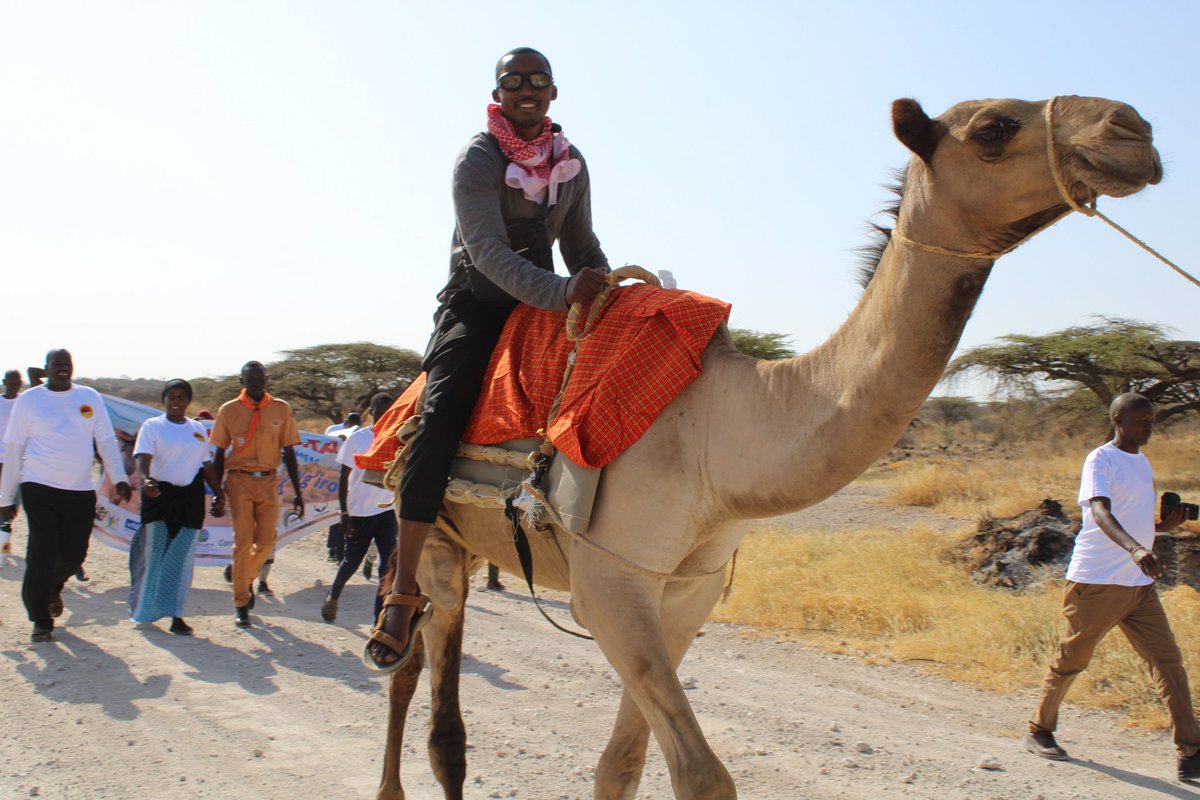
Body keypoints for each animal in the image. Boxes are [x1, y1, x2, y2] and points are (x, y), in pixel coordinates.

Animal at [375, 95, 1163, 800]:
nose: (1134, 130)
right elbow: (703, 776)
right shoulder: (609, 584)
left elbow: (622, 765)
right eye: (995, 129)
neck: (715, 435)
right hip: (435, 524)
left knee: (434, 690)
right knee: (419, 664)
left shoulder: (684, 593)